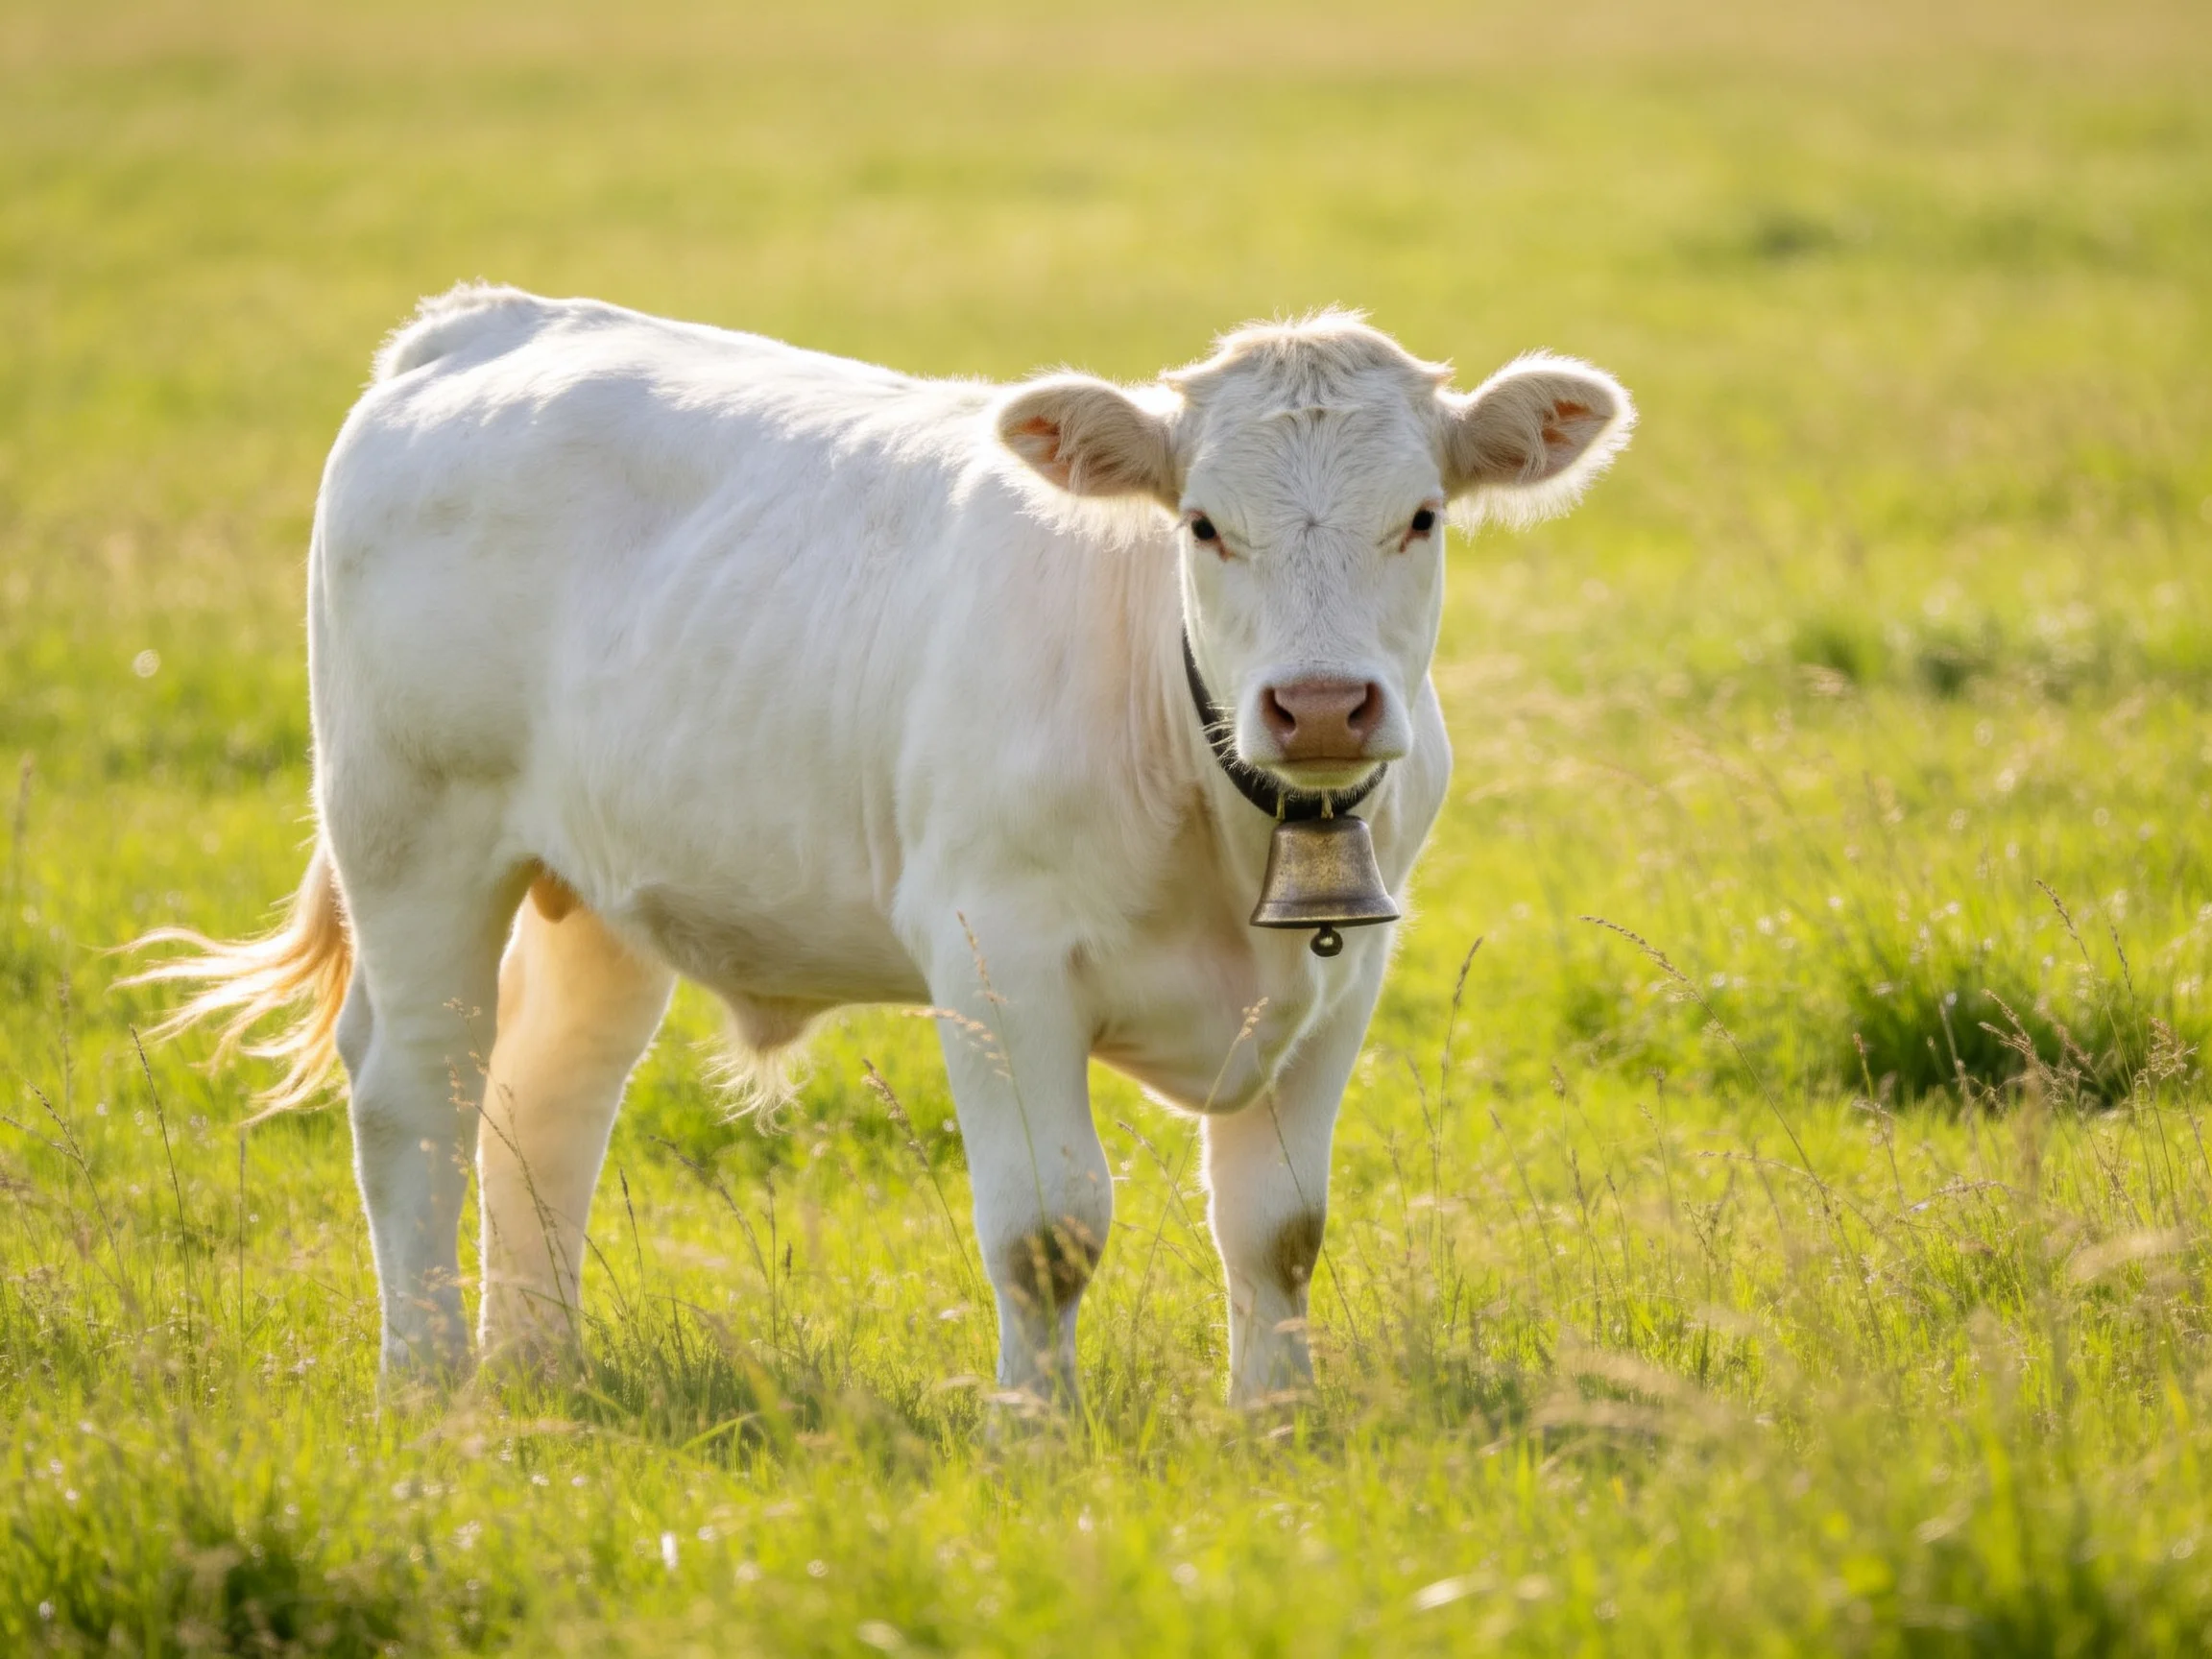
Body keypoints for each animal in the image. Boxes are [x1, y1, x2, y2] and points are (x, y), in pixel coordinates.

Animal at [135, 285, 1632, 1408]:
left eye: (1421, 517)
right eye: (1205, 525)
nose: (1321, 703)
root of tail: (481, 322)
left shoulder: (1339, 977)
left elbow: (1280, 1231)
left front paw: (1273, 1424)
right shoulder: (996, 958)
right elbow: (1047, 1231)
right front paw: (1036, 1435)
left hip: (594, 898)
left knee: (545, 1104)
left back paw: (540, 1371)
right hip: (413, 834)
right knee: (417, 1099)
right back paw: (431, 1383)